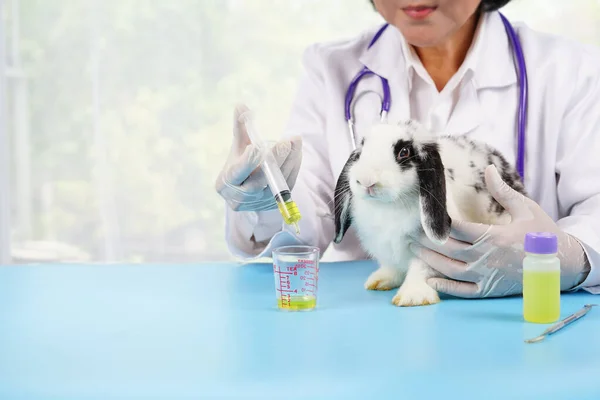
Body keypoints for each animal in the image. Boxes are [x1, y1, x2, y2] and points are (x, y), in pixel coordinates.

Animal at [332, 120, 524, 308]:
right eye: (361, 151)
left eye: (404, 152)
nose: (366, 181)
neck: (389, 206)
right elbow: (391, 266)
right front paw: (381, 281)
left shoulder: (429, 250)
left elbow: (421, 269)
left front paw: (413, 297)